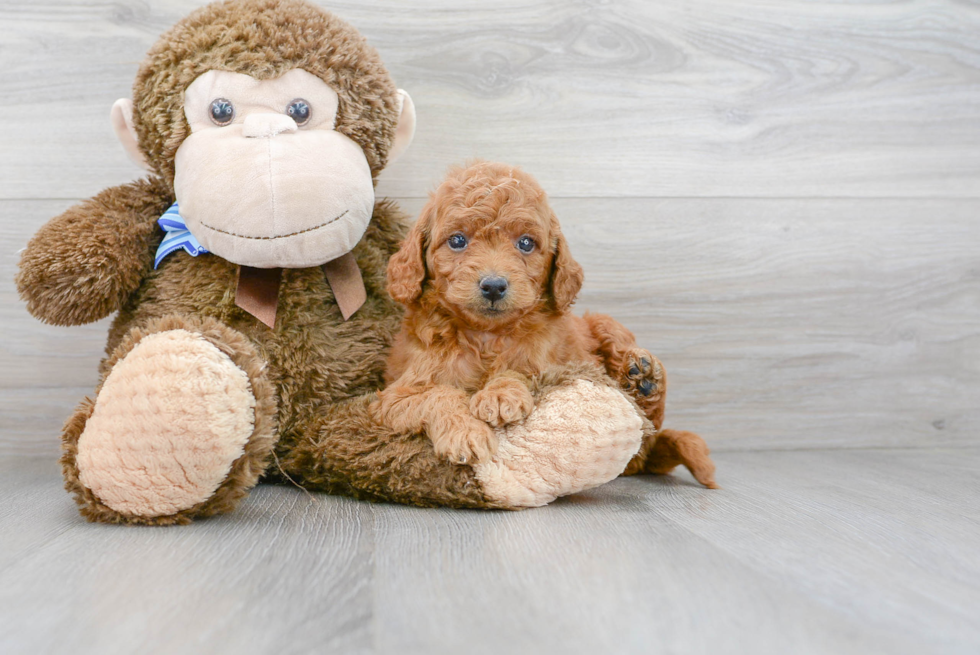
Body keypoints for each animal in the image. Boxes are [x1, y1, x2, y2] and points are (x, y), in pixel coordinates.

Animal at [378, 162, 716, 490]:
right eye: (457, 240)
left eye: (526, 243)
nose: (494, 286)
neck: (486, 334)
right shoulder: (392, 399)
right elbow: (439, 394)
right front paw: (466, 433)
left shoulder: (552, 366)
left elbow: (520, 370)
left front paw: (500, 394)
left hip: (606, 324)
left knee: (650, 426)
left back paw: (644, 379)